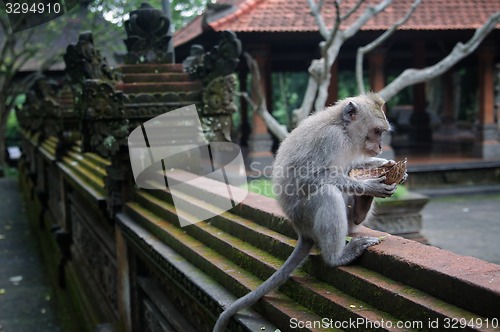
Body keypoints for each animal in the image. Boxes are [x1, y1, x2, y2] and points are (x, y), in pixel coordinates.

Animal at [213, 92, 404, 330]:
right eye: (377, 132)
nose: (379, 147)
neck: (344, 131)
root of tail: (301, 231)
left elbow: (353, 165)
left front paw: (384, 164)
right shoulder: (330, 139)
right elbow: (310, 177)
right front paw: (369, 186)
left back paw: (361, 209)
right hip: (305, 215)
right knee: (328, 192)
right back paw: (337, 257)